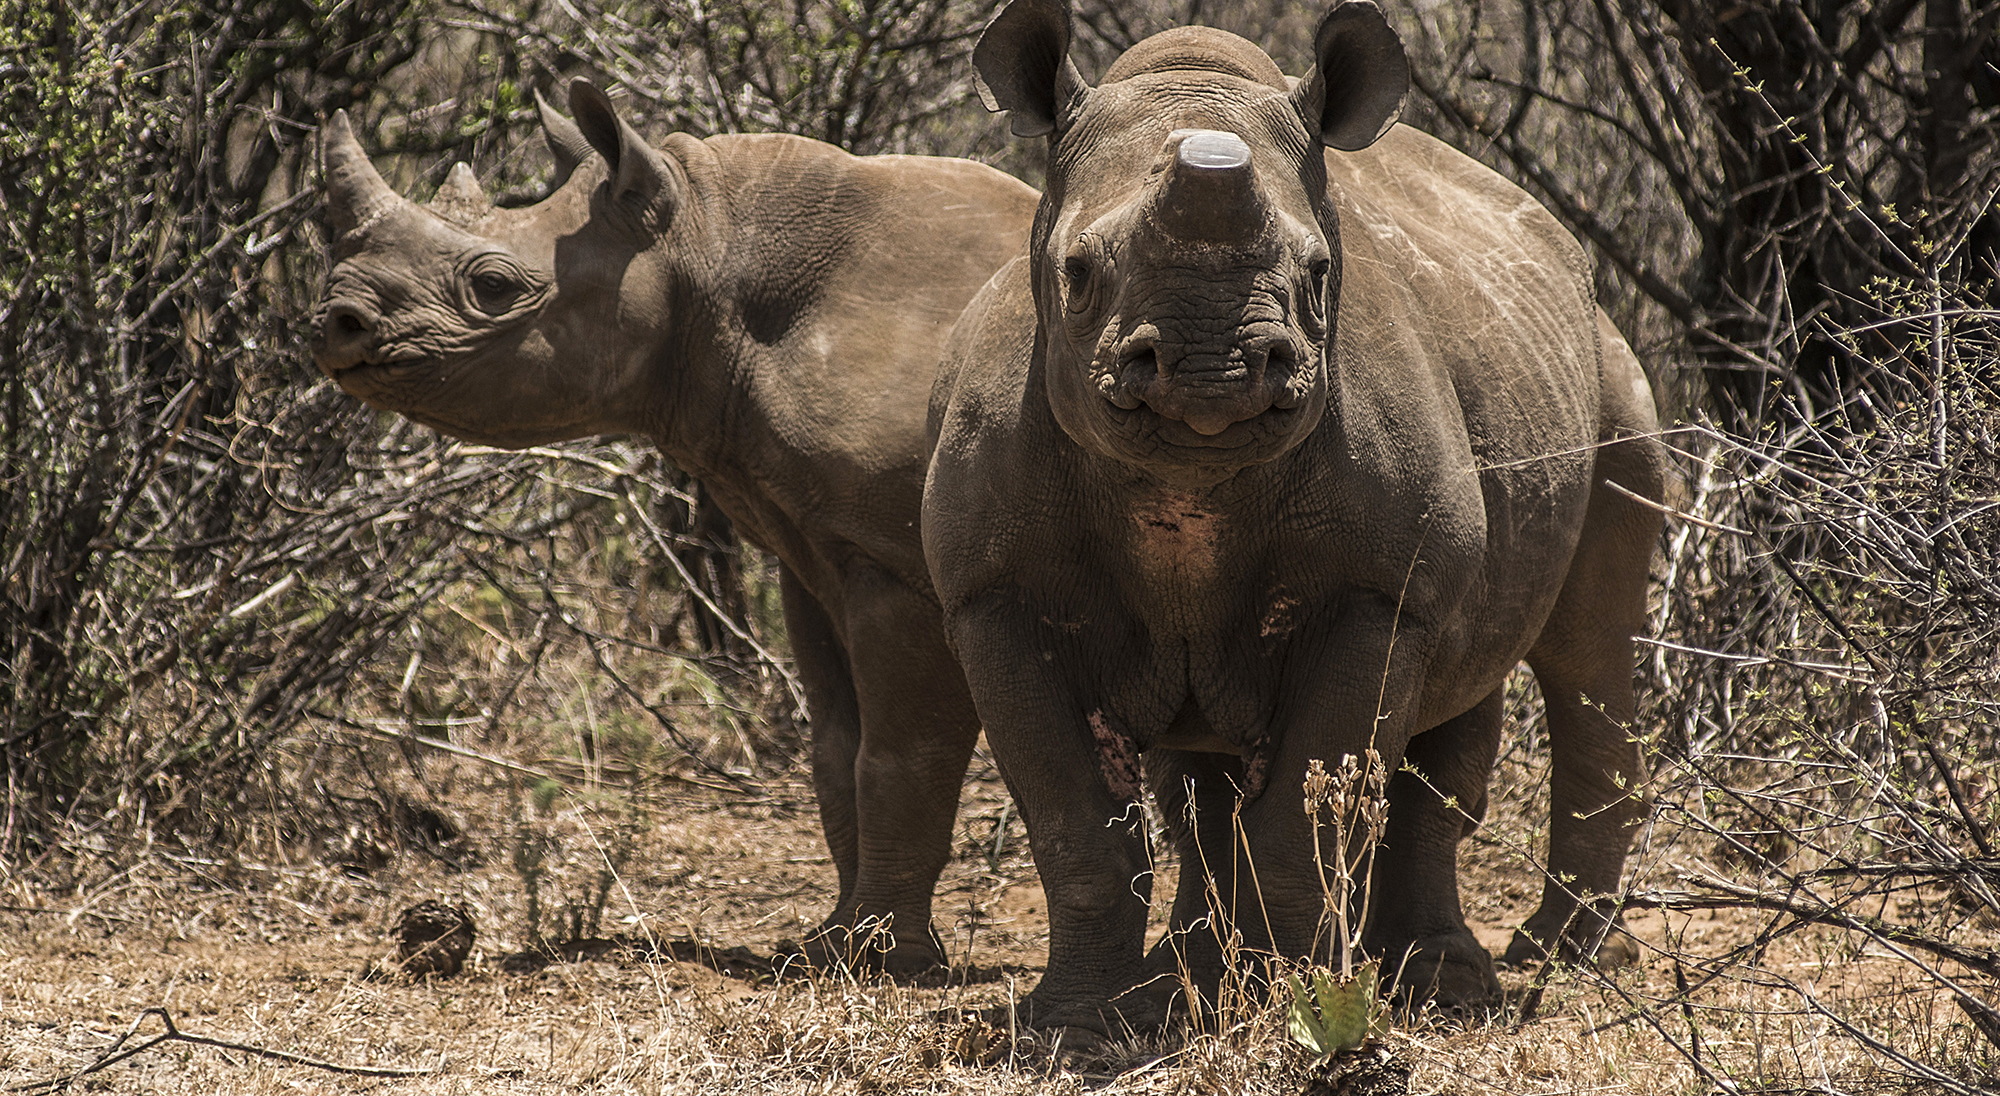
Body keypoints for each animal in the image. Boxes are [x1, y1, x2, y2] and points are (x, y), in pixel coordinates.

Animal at [313, 81, 1037, 975]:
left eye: (493, 285)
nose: (335, 322)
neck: (703, 242)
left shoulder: (899, 559)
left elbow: (899, 756)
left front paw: (878, 961)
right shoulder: (813, 544)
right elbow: (837, 749)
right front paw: (821, 945)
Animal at [923, 0, 1667, 1034]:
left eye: (1318, 271)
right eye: (1075, 271)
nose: (1212, 368)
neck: (1187, 486)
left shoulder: (1374, 593)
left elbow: (1301, 815)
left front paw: (1292, 1008)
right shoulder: (992, 595)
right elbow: (1079, 832)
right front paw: (1076, 1025)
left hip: (1614, 381)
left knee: (1587, 652)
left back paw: (1537, 963)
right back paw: (1199, 977)